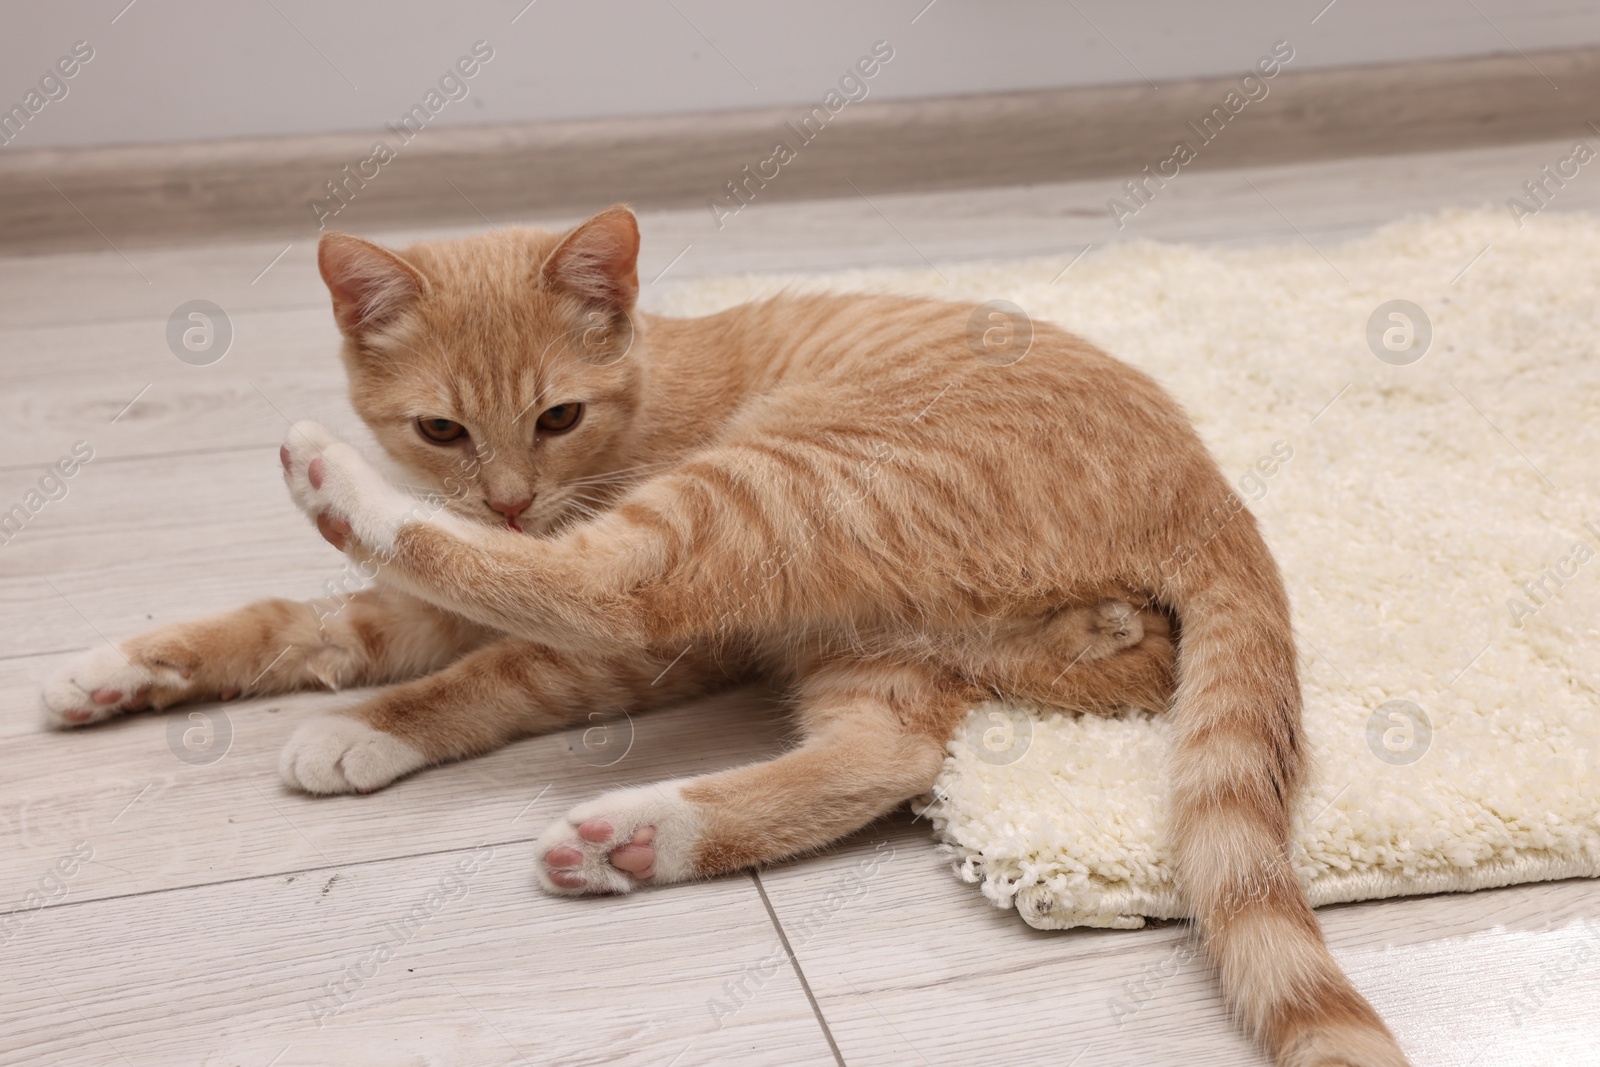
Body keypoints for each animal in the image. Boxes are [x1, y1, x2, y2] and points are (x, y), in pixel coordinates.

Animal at [40, 207, 1401, 1067]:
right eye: (441, 428)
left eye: (557, 415)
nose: (507, 499)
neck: (642, 392)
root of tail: (1208, 487)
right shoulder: (424, 589)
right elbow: (301, 621)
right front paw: (122, 668)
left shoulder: (624, 643)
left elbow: (493, 660)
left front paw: (364, 727)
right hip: (874, 636)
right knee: (893, 749)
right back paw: (646, 835)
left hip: (775, 488)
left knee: (608, 584)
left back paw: (344, 493)